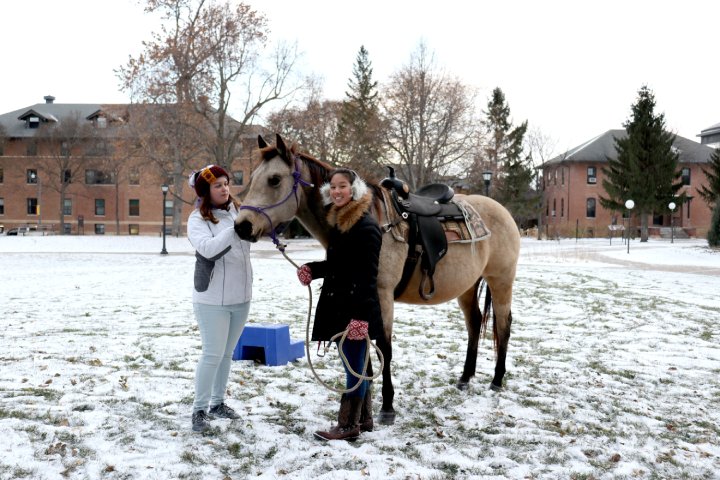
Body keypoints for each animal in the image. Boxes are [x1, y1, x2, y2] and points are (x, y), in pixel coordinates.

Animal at [235, 134, 520, 424]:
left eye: (274, 179)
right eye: (253, 177)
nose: (242, 226)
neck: (367, 220)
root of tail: (502, 211)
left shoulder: (381, 296)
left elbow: (384, 346)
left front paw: (387, 407)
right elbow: (363, 348)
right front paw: (362, 403)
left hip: (501, 281)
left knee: (503, 326)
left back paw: (497, 380)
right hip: (468, 286)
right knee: (474, 323)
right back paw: (465, 378)